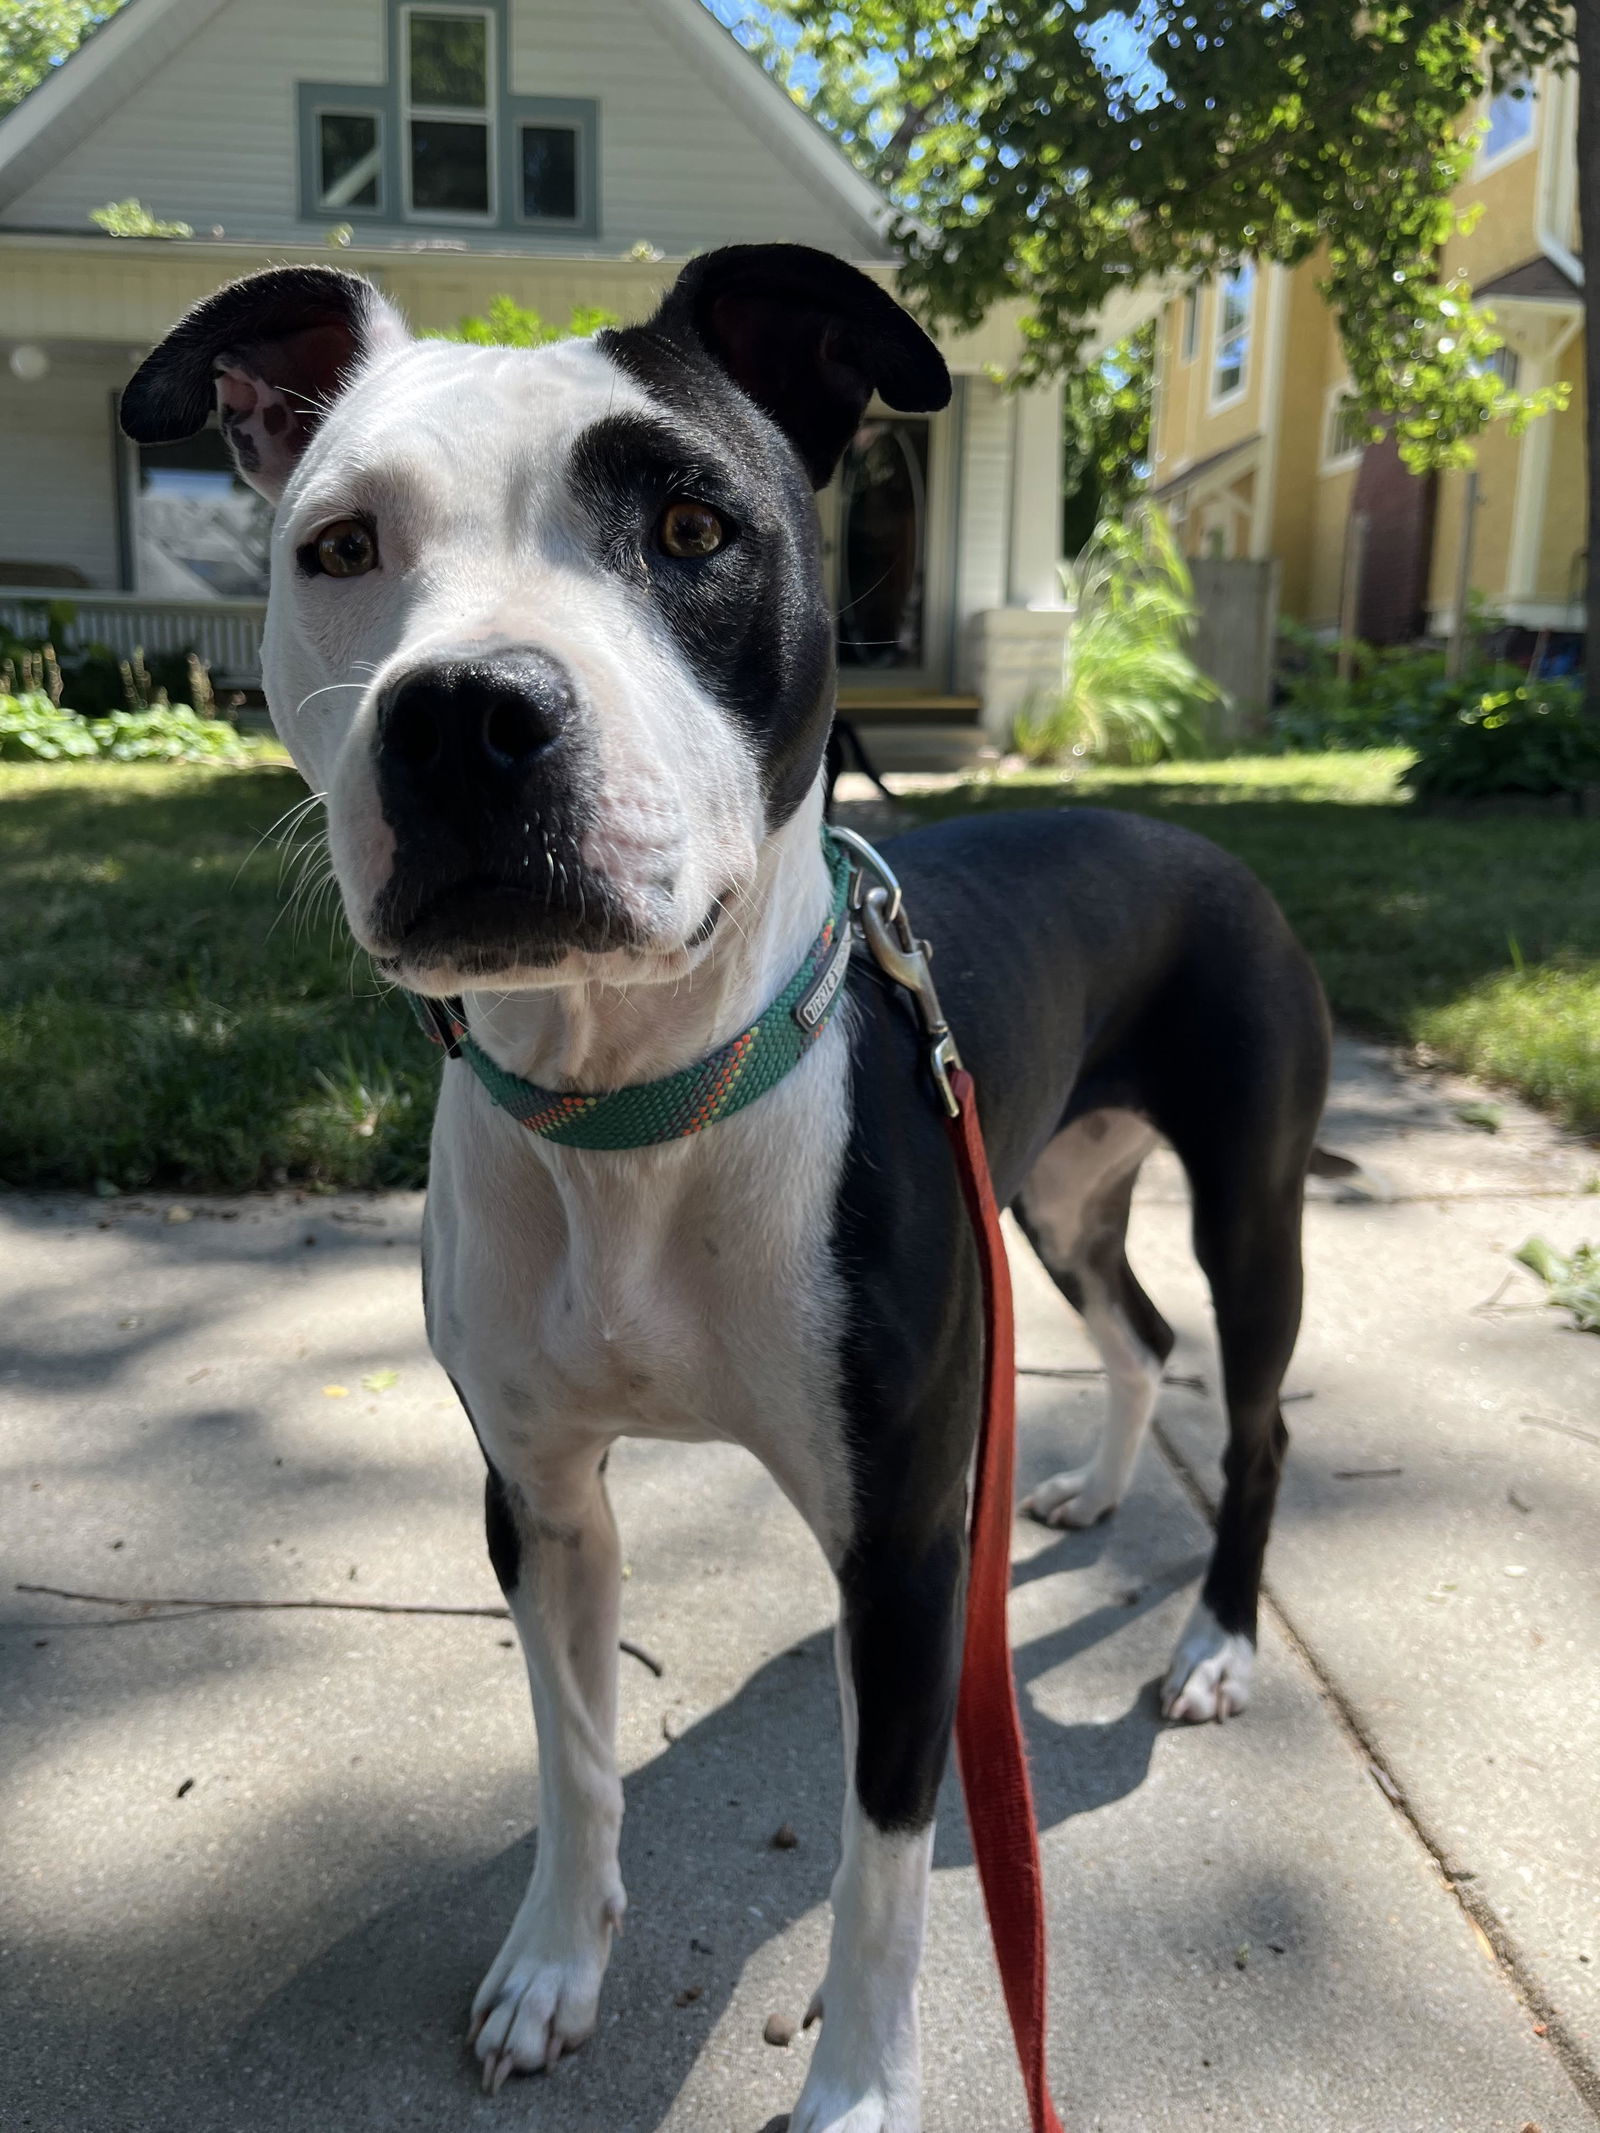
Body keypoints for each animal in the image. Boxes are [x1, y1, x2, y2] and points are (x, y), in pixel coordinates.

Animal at [122, 242, 1331, 2124]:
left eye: (693, 527)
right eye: (340, 544)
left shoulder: (899, 1552)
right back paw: (1083, 1493)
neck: (634, 1105)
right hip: (1053, 1200)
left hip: (1249, 1207)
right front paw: (556, 1964)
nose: (465, 715)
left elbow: (885, 1861)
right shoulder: (539, 1499)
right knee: (1134, 1333)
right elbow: (574, 1757)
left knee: (1254, 1415)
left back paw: (1215, 1644)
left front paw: (857, 2087)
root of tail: (1197, 834)